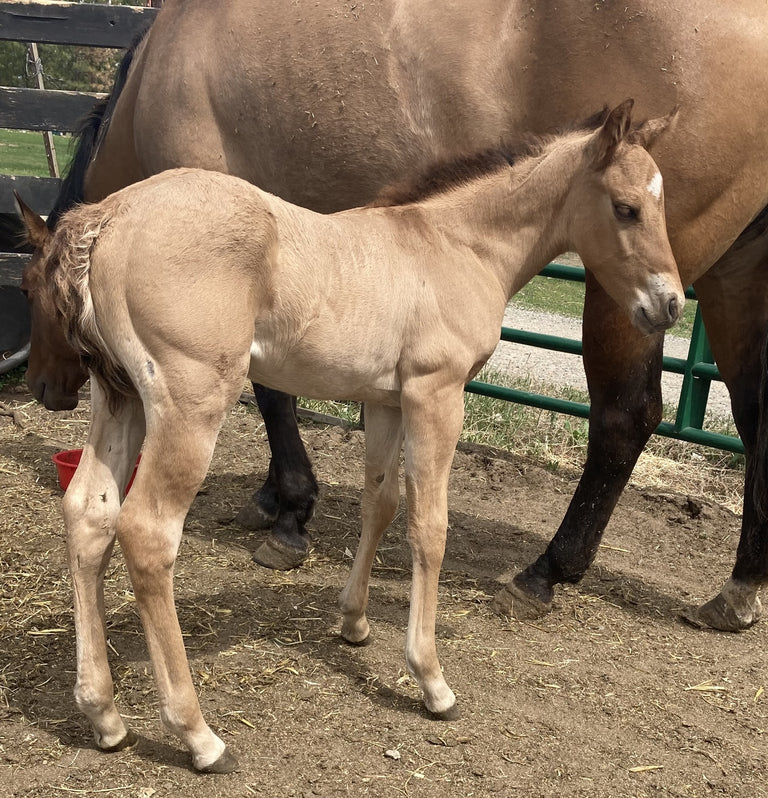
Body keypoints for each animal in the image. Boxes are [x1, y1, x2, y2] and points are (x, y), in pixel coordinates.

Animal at [17, 103, 682, 772]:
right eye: (626, 207)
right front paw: (431, 680)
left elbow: (379, 503)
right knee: (148, 531)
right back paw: (199, 735)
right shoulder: (436, 395)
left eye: (661, 204)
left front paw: (354, 622)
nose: (672, 304)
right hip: (191, 401)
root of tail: (109, 219)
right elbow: (429, 526)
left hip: (120, 396)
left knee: (88, 514)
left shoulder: (387, 402)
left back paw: (104, 716)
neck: (456, 246)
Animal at [20, 0, 768, 629]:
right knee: (753, 419)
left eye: (28, 286)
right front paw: (281, 505)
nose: (41, 387)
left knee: (626, 416)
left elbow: (279, 397)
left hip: (630, 290)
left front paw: (290, 510)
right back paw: (735, 592)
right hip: (731, 274)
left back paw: (547, 572)